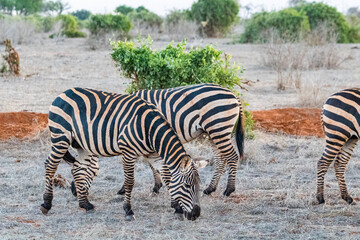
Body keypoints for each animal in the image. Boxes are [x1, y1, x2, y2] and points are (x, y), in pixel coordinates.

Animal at [39, 87, 207, 220]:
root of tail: (63, 93)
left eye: (198, 185)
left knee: (77, 169)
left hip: (83, 145)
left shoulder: (154, 155)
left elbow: (167, 177)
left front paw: (176, 207)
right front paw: (128, 210)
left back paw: (85, 204)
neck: (149, 128)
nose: (196, 214)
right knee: (50, 165)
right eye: (187, 185)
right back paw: (46, 204)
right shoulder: (128, 153)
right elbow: (130, 182)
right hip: (61, 137)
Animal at [70, 82, 245, 197]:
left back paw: (229, 190)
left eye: (82, 171)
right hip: (212, 132)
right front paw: (158, 186)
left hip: (218, 127)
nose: (73, 192)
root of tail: (233, 94)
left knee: (232, 156)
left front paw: (126, 189)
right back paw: (210, 188)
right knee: (221, 158)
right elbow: (152, 165)